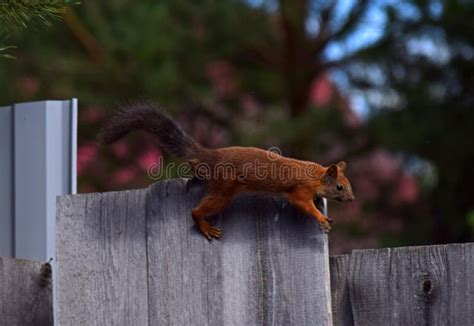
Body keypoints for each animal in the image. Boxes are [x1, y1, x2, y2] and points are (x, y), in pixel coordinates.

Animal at [100, 100, 354, 241]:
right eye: (339, 186)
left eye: (348, 184)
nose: (351, 200)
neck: (315, 176)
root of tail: (213, 155)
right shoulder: (299, 190)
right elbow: (303, 205)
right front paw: (321, 218)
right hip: (225, 189)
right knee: (196, 211)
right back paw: (204, 225)